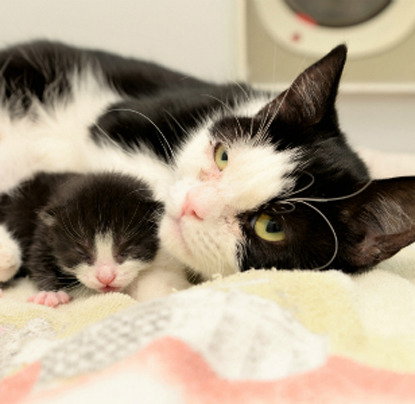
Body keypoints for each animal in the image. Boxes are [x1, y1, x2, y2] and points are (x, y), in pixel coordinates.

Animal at [0, 171, 188, 306]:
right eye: (82, 253)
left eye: (126, 250)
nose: (106, 278)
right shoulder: (46, 228)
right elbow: (36, 257)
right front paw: (50, 293)